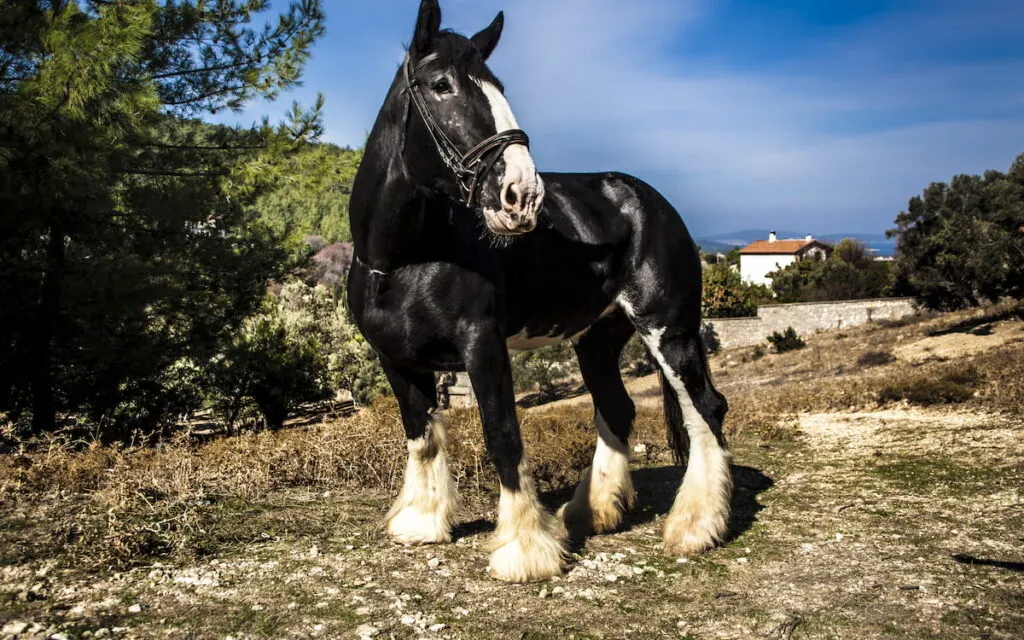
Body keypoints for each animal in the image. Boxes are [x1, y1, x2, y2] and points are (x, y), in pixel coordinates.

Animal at [348, 0, 733, 581]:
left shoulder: (482, 344)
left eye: (498, 85)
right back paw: (591, 512)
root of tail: (648, 200)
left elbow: (503, 435)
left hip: (670, 330)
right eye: (441, 85)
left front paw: (524, 549)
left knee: (705, 408)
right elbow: (422, 437)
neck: (401, 260)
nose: (523, 194)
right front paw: (421, 523)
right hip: (598, 339)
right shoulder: (397, 359)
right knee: (617, 409)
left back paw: (696, 527)